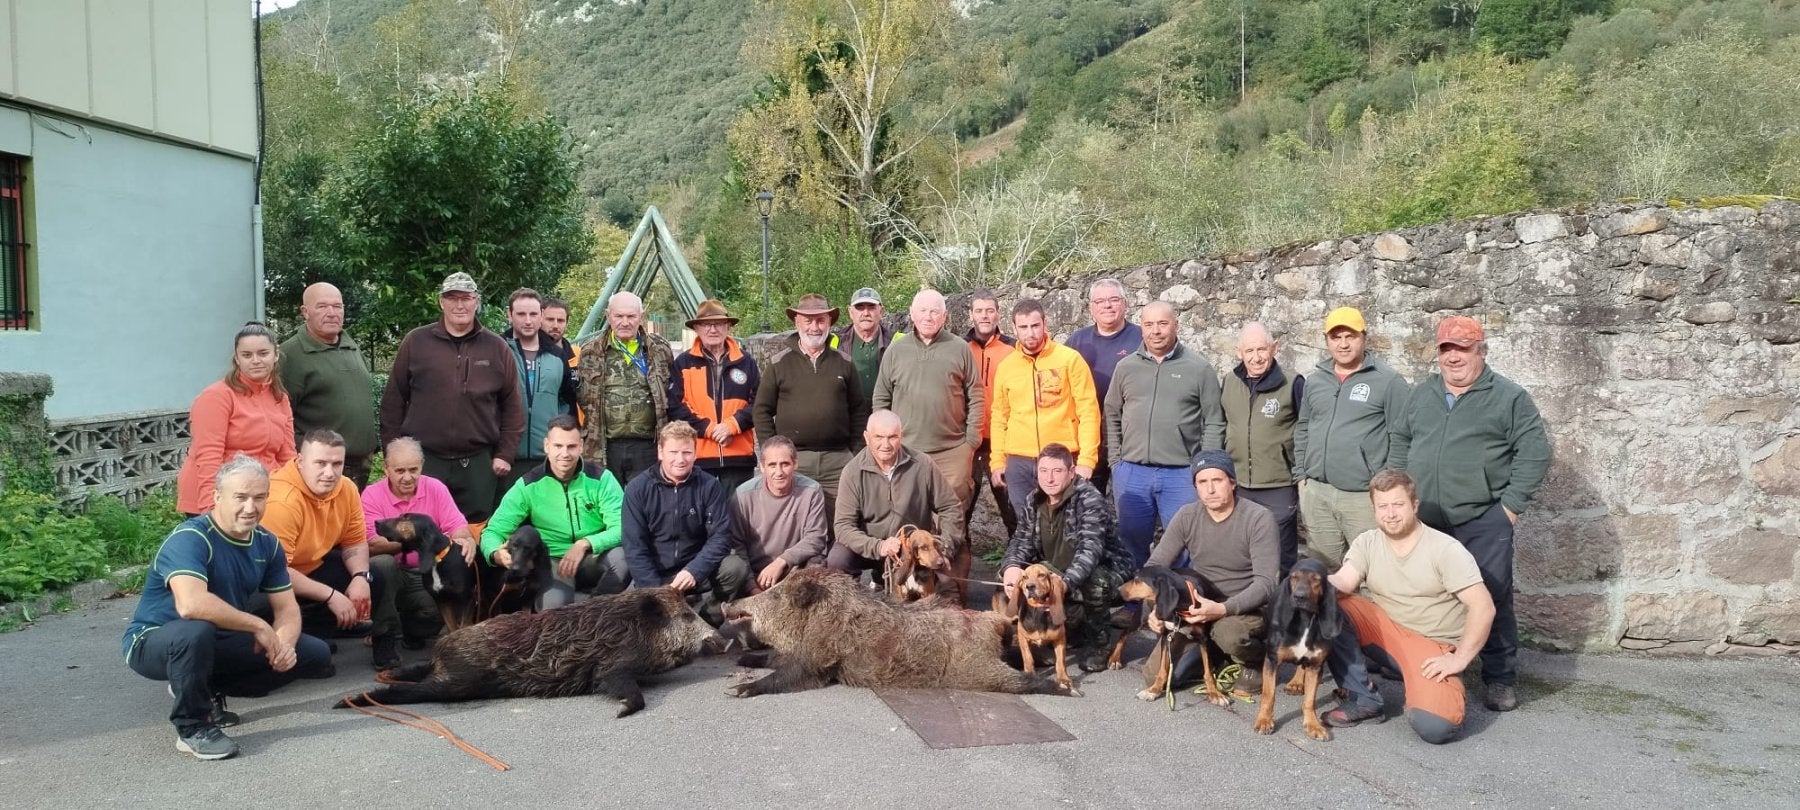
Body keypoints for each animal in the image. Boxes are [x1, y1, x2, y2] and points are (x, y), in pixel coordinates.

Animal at [993, 561, 1072, 694]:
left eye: (1041, 575)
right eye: (1025, 577)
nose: (1029, 587)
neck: (1039, 610)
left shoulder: (1060, 639)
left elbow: (1060, 661)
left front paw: (1064, 679)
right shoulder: (1023, 638)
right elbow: (1028, 658)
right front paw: (1030, 675)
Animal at [1260, 558, 1346, 741]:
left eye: (1316, 579)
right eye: (1294, 577)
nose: (1299, 596)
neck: (1305, 620)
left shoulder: (1315, 666)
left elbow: (1310, 701)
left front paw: (1313, 725)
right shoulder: (1272, 660)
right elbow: (1268, 695)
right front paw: (1264, 720)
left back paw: (1297, 682)